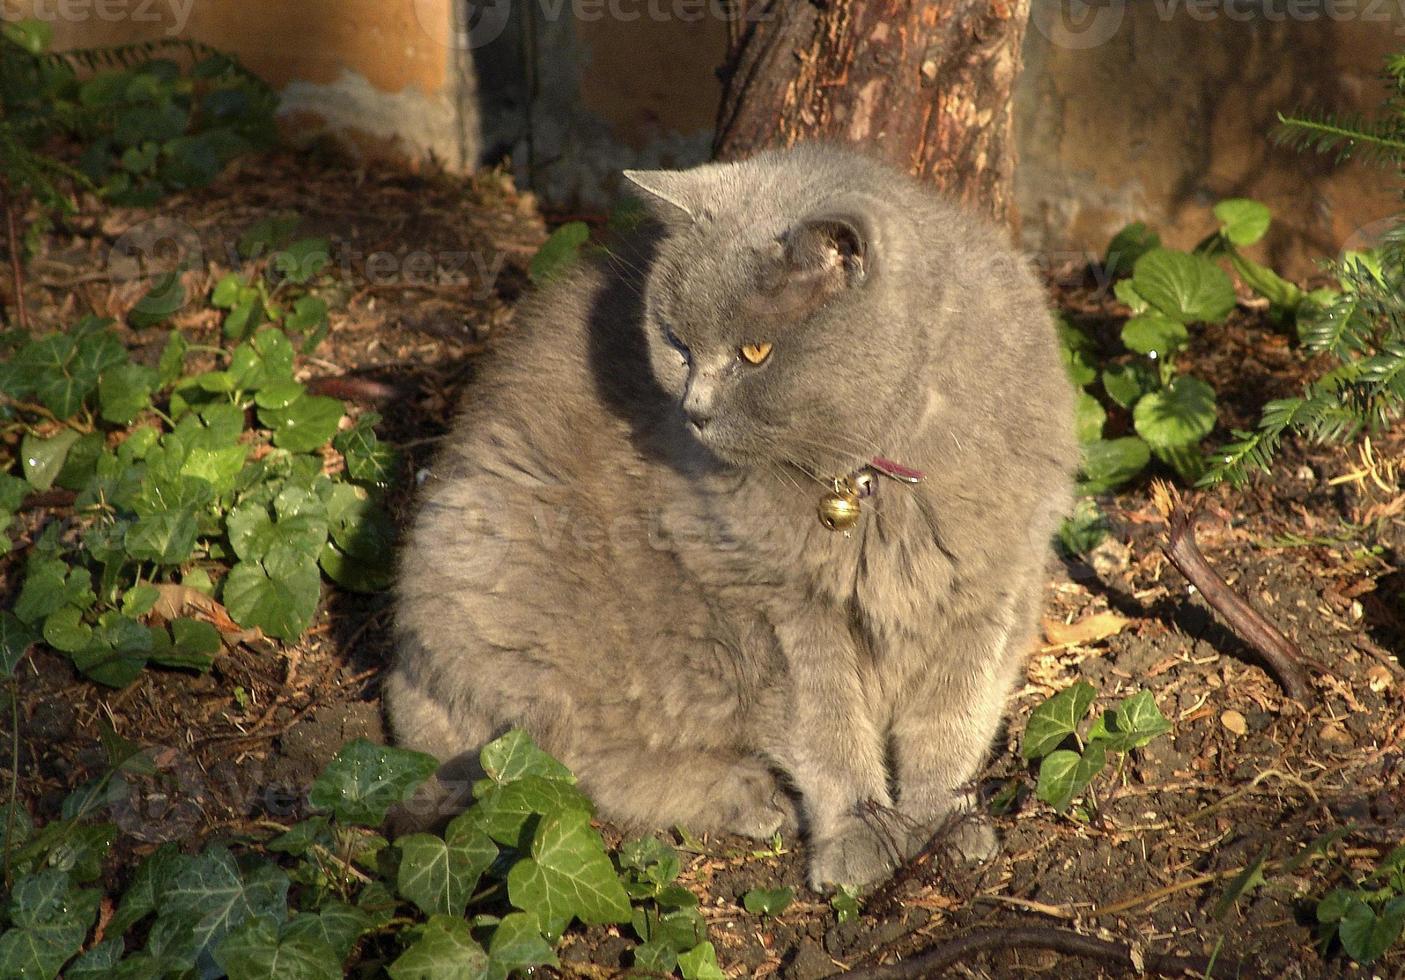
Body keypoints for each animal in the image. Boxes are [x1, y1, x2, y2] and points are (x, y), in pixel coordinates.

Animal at [387, 145, 1073, 887]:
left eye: (754, 353)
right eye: (676, 343)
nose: (693, 409)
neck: (872, 478)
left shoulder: (992, 582)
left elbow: (954, 717)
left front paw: (945, 818)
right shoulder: (774, 607)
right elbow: (828, 728)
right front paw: (859, 832)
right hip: (505, 568)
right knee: (554, 763)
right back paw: (748, 794)